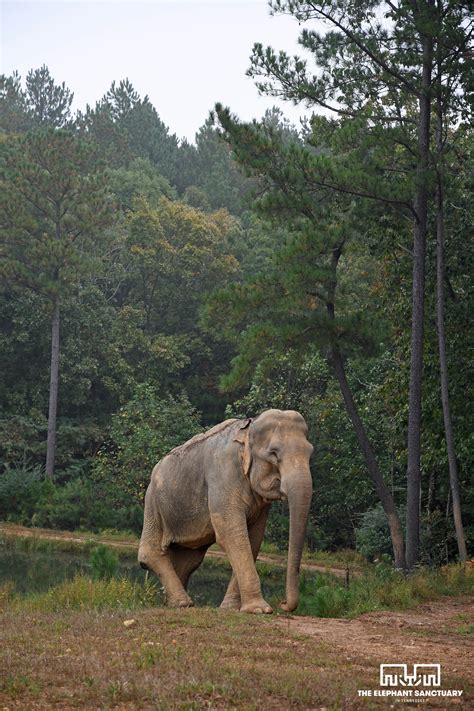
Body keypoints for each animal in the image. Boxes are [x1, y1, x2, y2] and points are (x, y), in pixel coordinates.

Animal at [138, 409, 313, 614]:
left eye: (310, 453)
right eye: (274, 453)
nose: (283, 604)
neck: (249, 428)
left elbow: (253, 539)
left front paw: (231, 609)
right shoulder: (223, 475)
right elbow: (232, 535)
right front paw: (260, 610)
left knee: (188, 559)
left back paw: (173, 603)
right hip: (153, 502)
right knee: (150, 551)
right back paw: (183, 603)